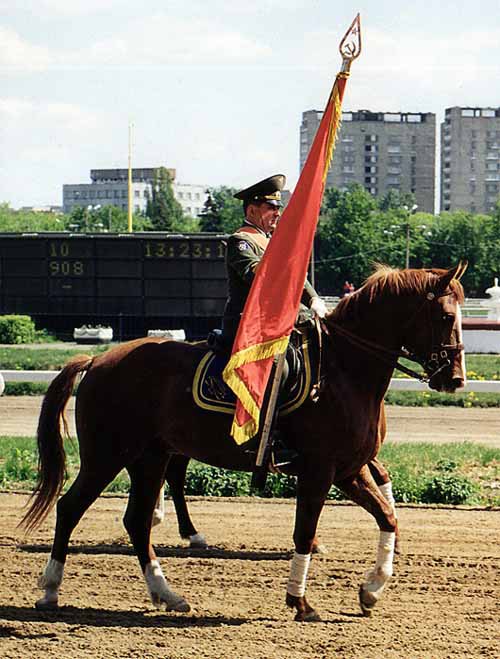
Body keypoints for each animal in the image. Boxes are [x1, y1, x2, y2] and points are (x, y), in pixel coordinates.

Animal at [21, 260, 466, 620]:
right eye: (446, 316)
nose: (456, 379)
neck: (344, 370)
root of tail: (98, 359)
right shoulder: (320, 471)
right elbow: (305, 532)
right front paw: (300, 602)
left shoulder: (349, 470)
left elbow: (388, 517)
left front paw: (371, 589)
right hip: (107, 456)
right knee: (70, 508)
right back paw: (50, 589)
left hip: (150, 458)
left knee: (137, 521)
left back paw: (167, 593)